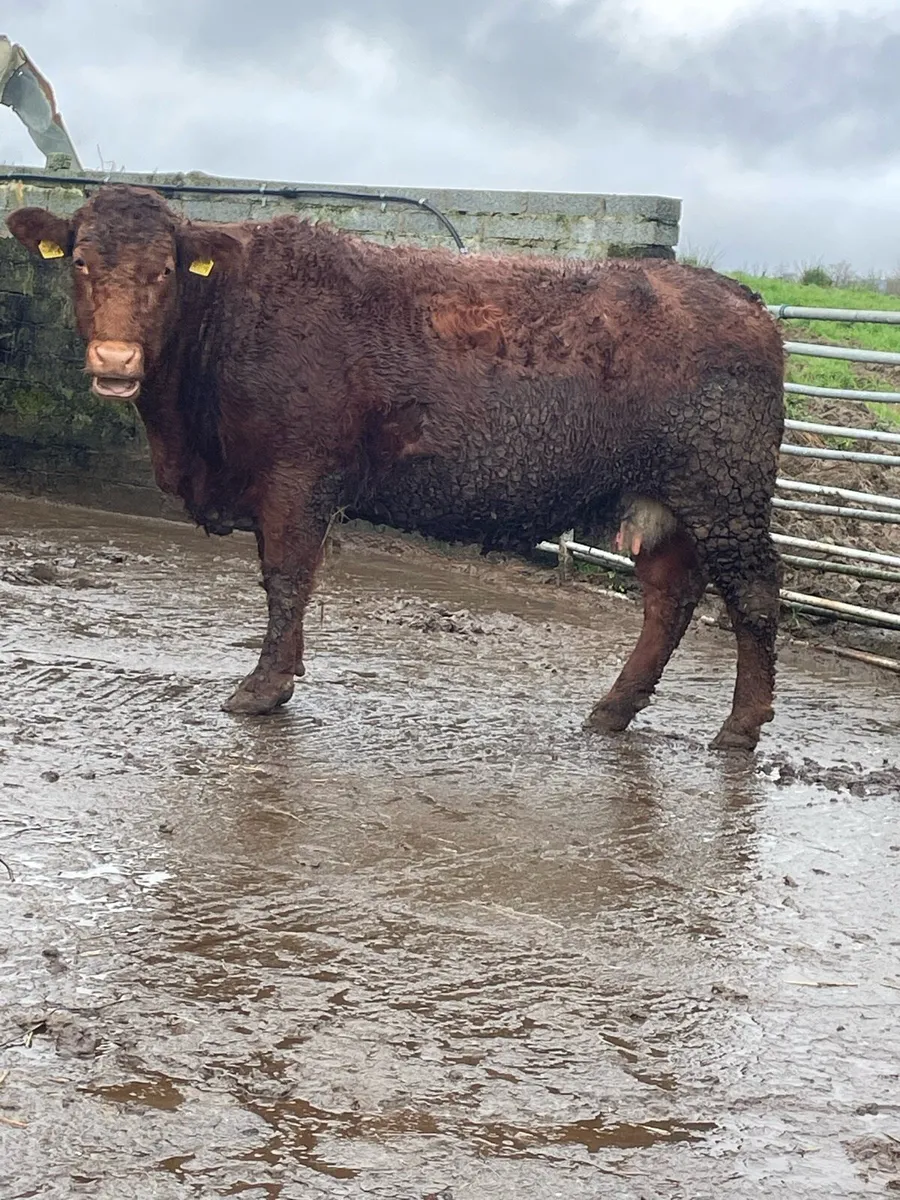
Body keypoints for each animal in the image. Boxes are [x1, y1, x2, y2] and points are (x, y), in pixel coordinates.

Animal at [6, 185, 785, 749]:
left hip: (724, 494)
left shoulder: (296, 477)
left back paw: (739, 728)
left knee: (753, 595)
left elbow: (285, 578)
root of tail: (741, 298)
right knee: (669, 598)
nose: (115, 361)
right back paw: (612, 711)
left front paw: (263, 688)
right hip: (660, 502)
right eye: (80, 262)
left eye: (165, 270)